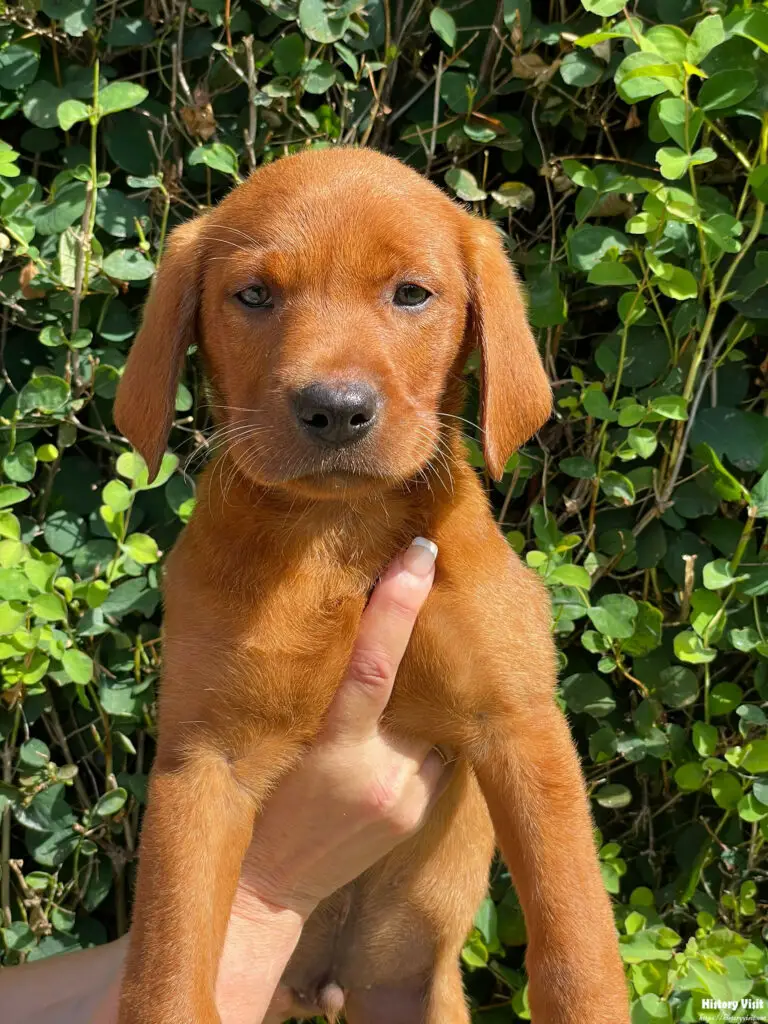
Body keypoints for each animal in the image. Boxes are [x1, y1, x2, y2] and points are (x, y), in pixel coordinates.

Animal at [114, 146, 630, 1024]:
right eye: (254, 295)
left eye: (411, 293)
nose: (335, 408)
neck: (340, 536)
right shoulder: (203, 762)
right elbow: (166, 965)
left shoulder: (520, 723)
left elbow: (575, 942)